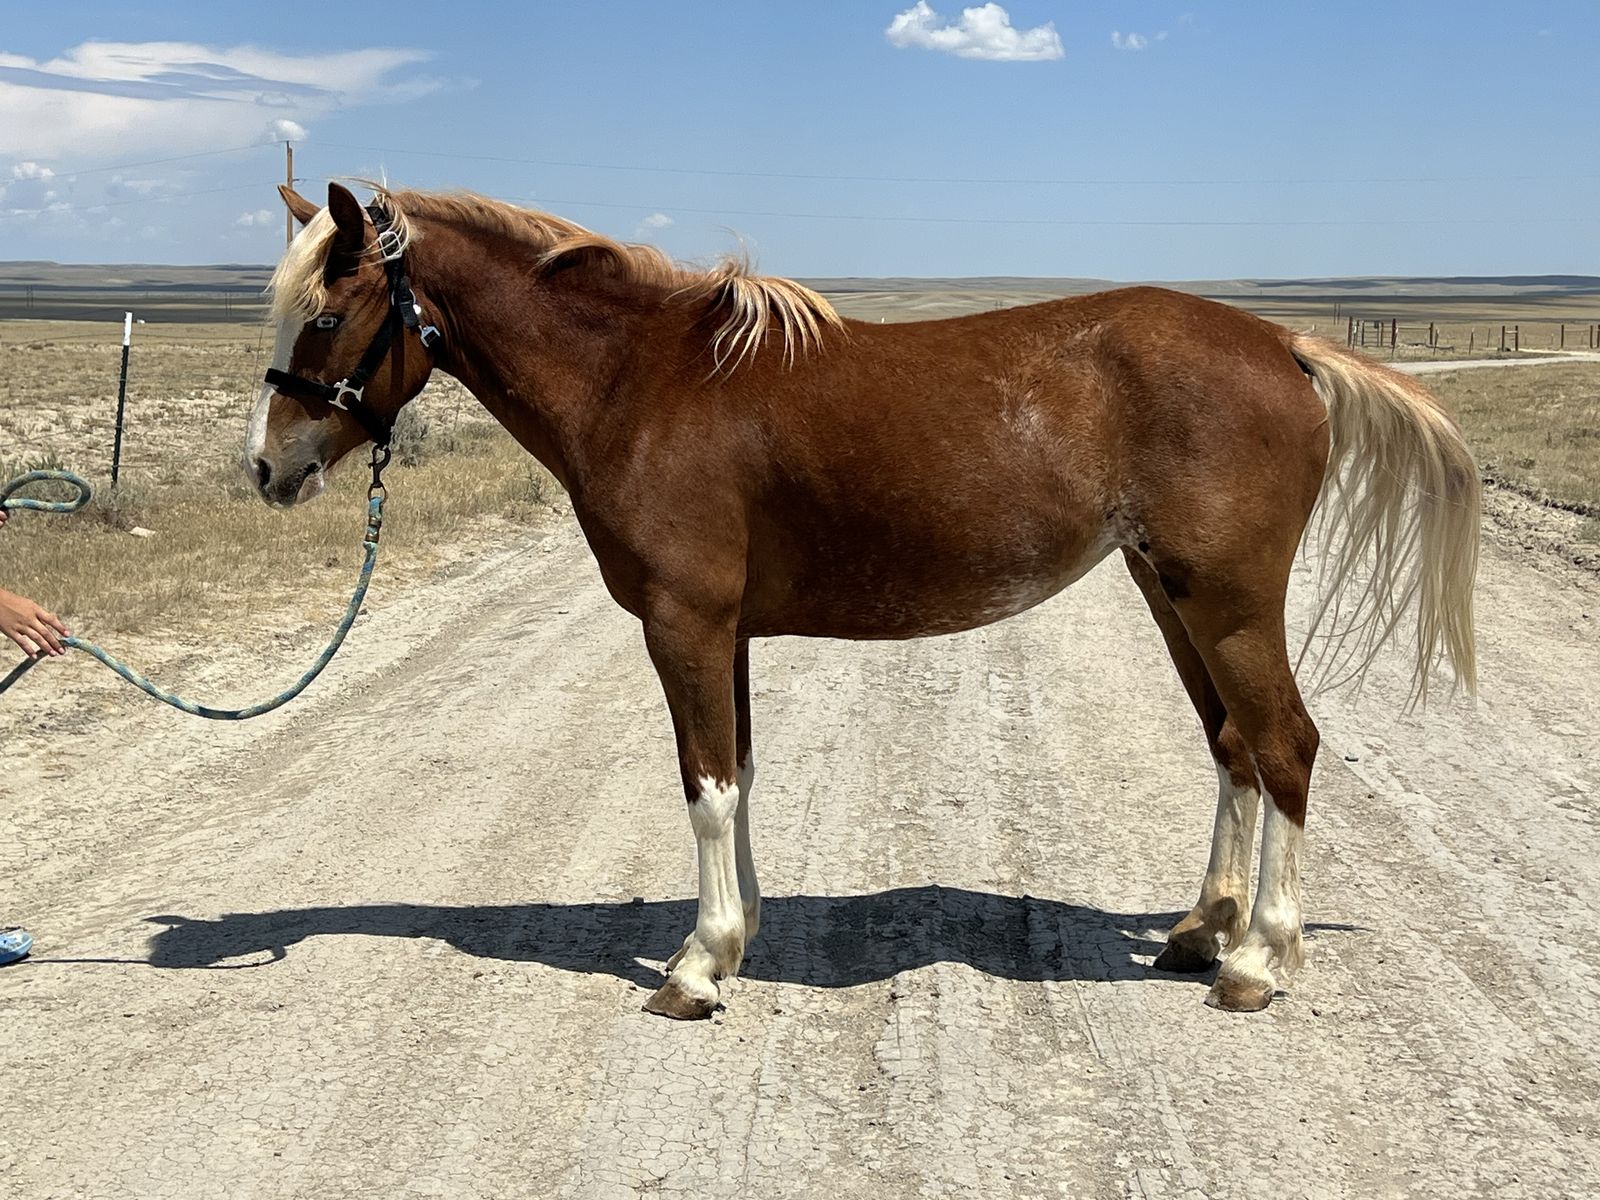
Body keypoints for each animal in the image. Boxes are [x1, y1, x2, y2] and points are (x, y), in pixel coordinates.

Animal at [244, 181, 1479, 1019]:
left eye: (326, 316)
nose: (266, 469)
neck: (638, 382)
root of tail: (1283, 341)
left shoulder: (684, 624)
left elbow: (704, 788)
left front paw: (696, 967)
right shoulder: (725, 632)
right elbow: (737, 776)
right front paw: (739, 936)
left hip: (1226, 601)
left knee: (1284, 744)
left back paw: (1259, 958)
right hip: (1169, 593)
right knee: (1232, 746)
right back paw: (1201, 930)